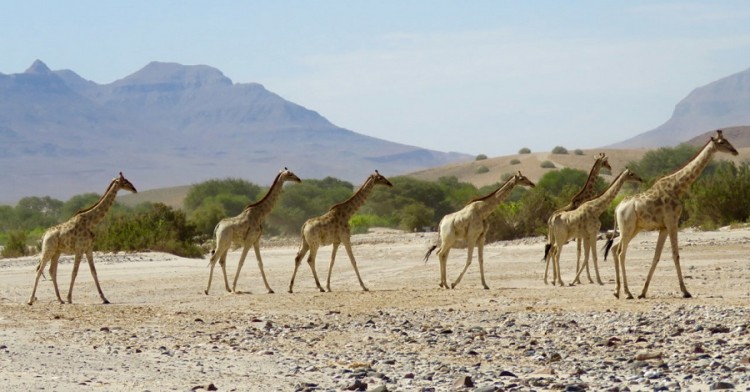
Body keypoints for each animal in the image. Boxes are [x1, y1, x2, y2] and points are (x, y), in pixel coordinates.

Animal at [27, 172, 138, 306]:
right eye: (125, 181)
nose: (134, 189)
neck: (91, 222)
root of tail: (44, 235)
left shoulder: (89, 249)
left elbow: (93, 271)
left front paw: (104, 299)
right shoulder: (79, 249)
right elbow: (74, 272)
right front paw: (70, 298)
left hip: (57, 252)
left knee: (51, 271)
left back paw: (60, 299)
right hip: (48, 250)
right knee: (39, 270)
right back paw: (31, 300)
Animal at [544, 152, 612, 284]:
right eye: (605, 161)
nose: (610, 167)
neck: (585, 196)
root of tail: (550, 220)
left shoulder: (580, 234)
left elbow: (580, 252)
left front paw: (581, 279)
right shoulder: (582, 233)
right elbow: (580, 252)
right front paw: (586, 279)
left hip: (552, 235)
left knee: (550, 250)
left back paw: (550, 280)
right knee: (553, 251)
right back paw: (555, 279)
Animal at [608, 130, 744, 298]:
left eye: (727, 140)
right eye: (721, 142)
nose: (735, 151)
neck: (678, 187)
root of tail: (617, 208)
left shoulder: (664, 227)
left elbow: (656, 256)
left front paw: (643, 292)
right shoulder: (673, 221)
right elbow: (675, 254)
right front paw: (685, 291)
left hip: (633, 228)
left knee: (615, 249)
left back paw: (617, 291)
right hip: (627, 228)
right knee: (621, 253)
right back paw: (627, 293)